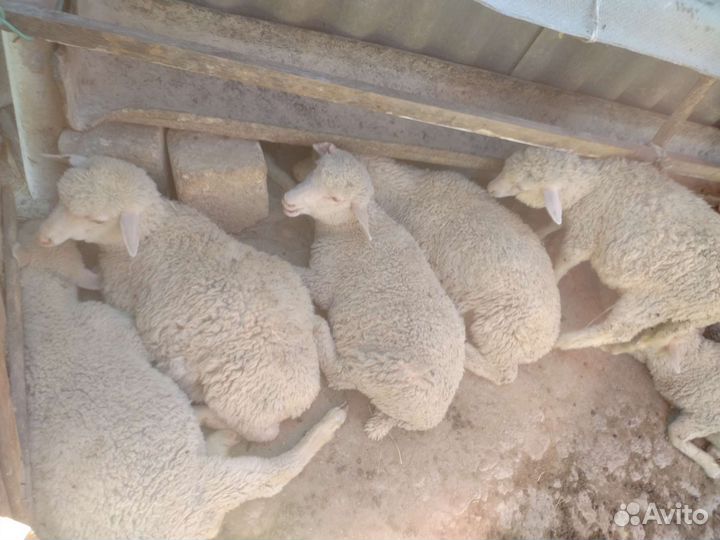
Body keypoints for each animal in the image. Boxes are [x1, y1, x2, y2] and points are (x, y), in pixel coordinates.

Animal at [16, 220, 347, 539]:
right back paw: (316, 427)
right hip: (209, 485)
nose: (39, 232)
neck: (44, 319)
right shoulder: (113, 326)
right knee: (272, 474)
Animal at [37, 156, 326, 442]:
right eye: (60, 195)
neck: (154, 232)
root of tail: (305, 397)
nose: (43, 236)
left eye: (97, 220)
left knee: (256, 432)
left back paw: (200, 413)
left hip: (237, 396)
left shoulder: (120, 294)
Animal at [282, 143, 465, 440]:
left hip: (376, 368)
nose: (288, 200)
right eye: (317, 170)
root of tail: (432, 414)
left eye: (335, 198)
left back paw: (320, 329)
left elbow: (294, 272)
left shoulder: (324, 280)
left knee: (339, 376)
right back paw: (380, 424)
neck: (348, 230)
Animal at [487, 147, 720, 352]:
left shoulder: (585, 235)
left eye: (519, 186)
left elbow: (565, 260)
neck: (594, 186)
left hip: (655, 300)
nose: (490, 188)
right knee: (656, 337)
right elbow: (556, 224)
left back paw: (565, 341)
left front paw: (552, 277)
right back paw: (621, 349)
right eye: (506, 166)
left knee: (617, 329)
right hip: (686, 316)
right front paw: (539, 233)